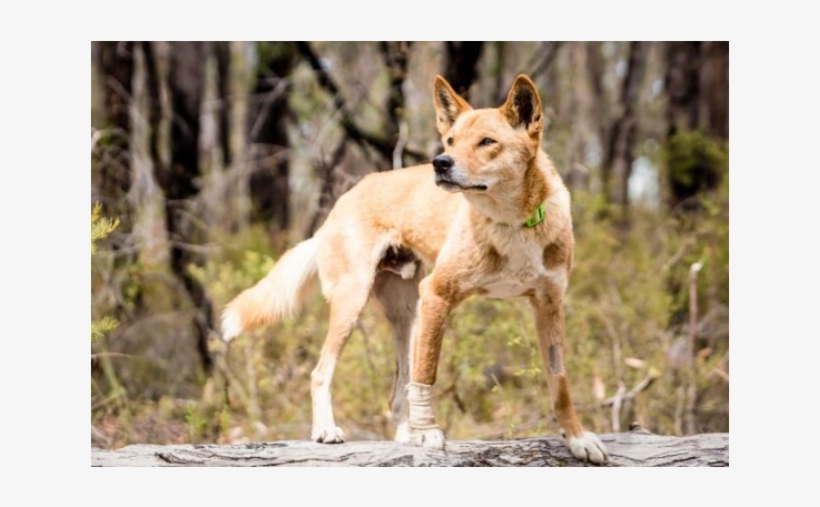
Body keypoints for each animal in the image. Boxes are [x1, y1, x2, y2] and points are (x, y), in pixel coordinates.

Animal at [221, 74, 609, 464]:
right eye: (451, 140)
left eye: (487, 142)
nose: (440, 163)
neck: (511, 225)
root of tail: (345, 197)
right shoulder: (438, 294)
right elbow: (428, 372)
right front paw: (428, 433)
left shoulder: (548, 306)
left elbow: (560, 383)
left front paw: (576, 438)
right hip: (355, 302)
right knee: (321, 372)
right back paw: (327, 430)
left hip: (408, 315)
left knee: (397, 389)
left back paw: (405, 433)